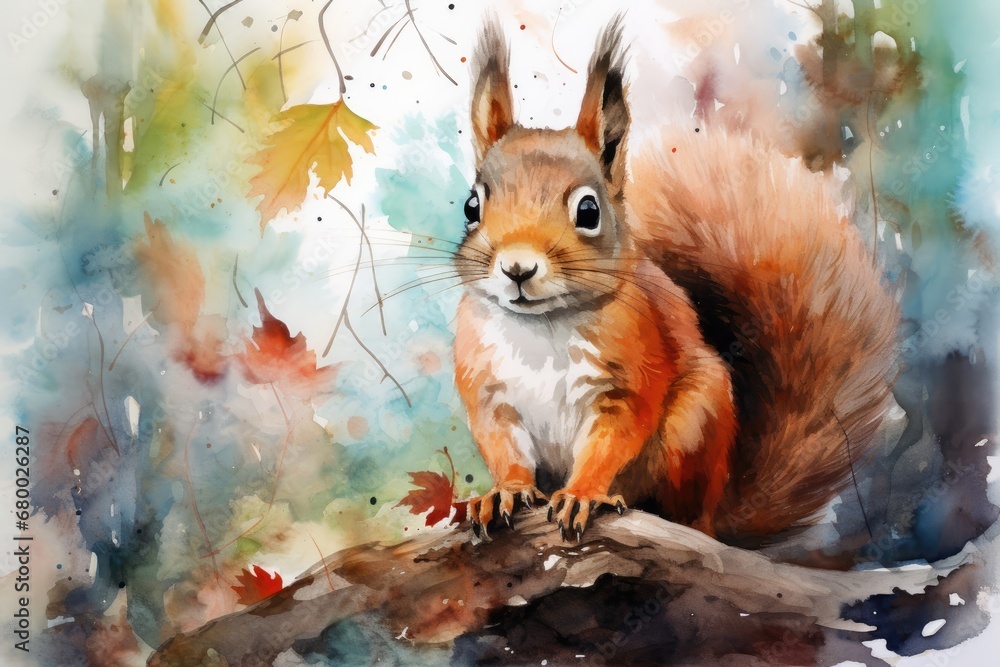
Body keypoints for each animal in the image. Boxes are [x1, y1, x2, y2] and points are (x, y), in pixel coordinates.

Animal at [453, 17, 898, 545]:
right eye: (471, 207)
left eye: (589, 211)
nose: (517, 268)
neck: (541, 330)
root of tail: (720, 516)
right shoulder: (488, 389)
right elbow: (503, 447)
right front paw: (504, 491)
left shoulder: (632, 376)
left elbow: (612, 441)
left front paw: (583, 493)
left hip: (693, 425)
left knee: (680, 509)